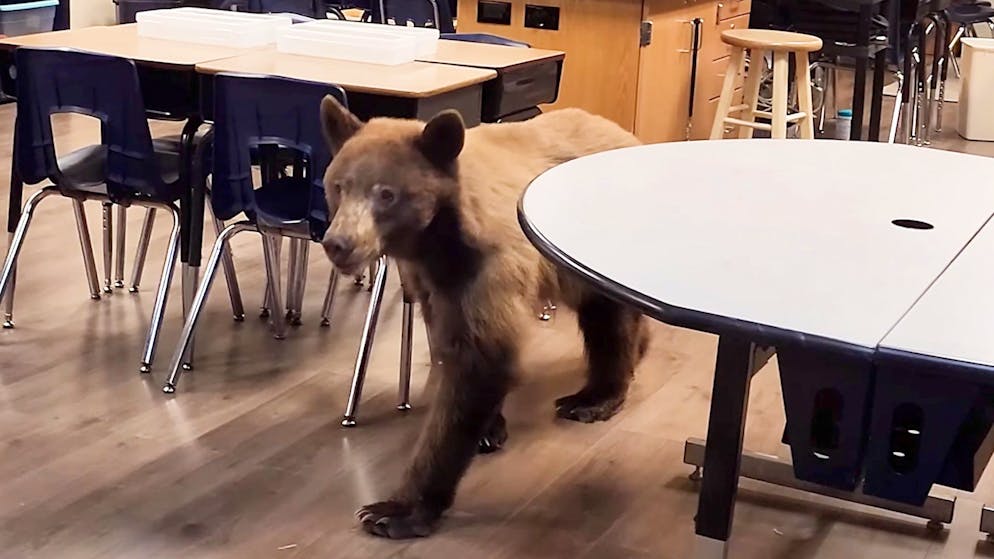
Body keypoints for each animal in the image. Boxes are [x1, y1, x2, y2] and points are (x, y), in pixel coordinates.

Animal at [318, 99, 649, 539]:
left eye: (386, 194)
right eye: (339, 185)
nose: (338, 244)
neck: (438, 241)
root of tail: (628, 135)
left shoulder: (487, 270)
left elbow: (480, 362)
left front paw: (394, 510)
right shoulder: (432, 284)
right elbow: (453, 345)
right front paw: (490, 431)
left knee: (609, 318)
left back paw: (592, 398)